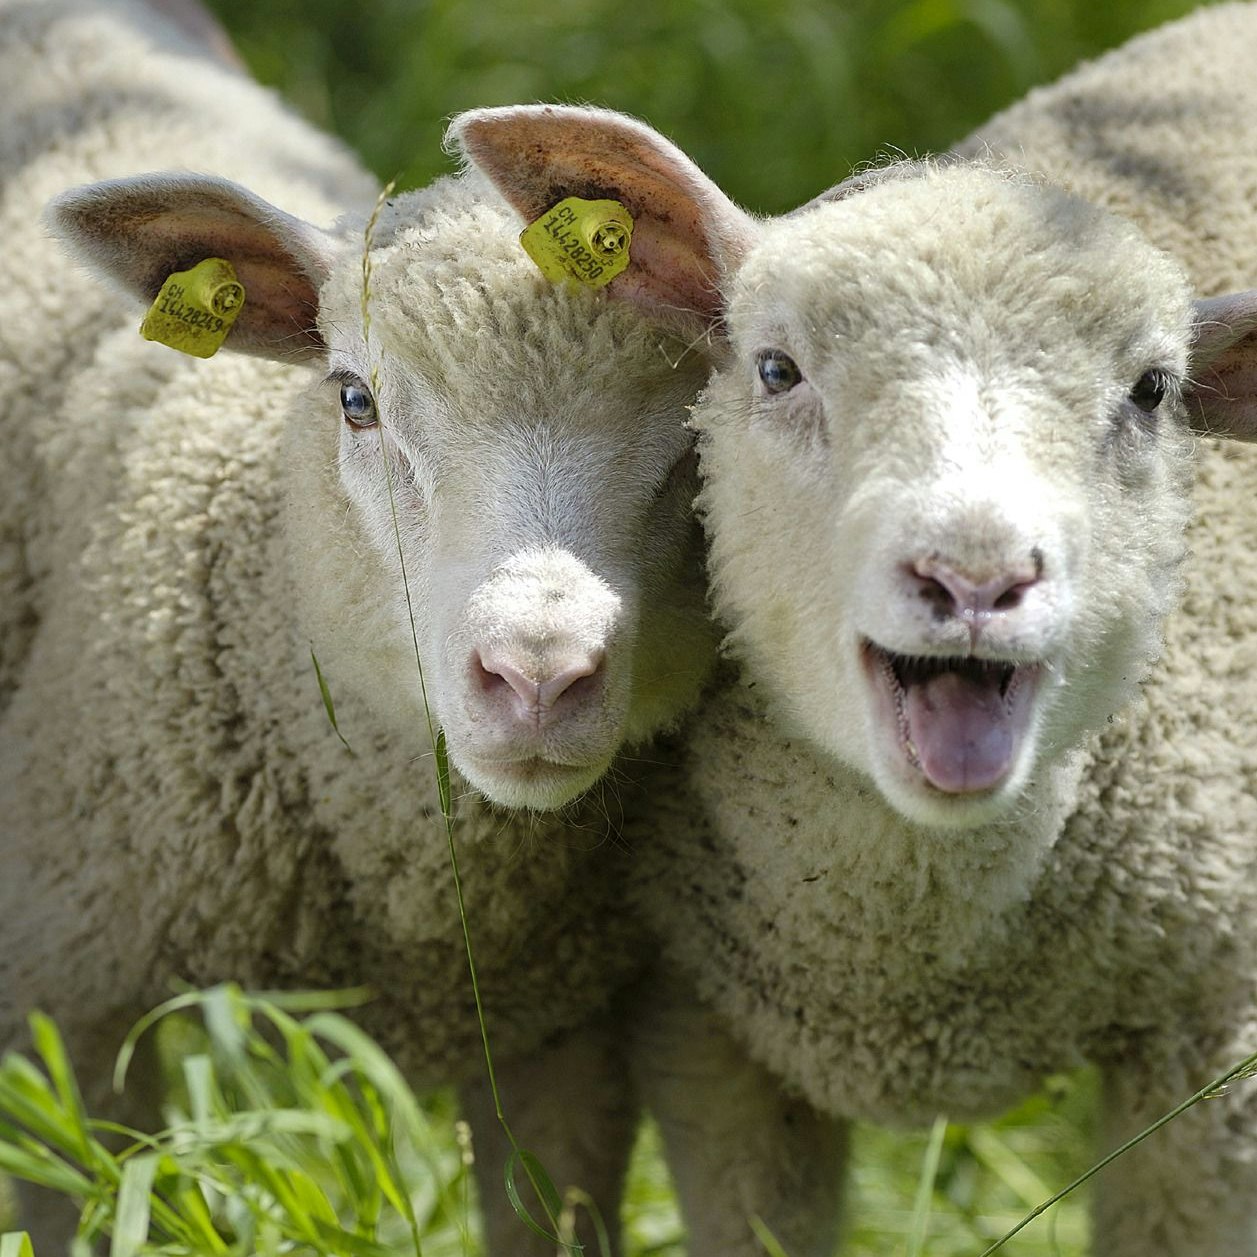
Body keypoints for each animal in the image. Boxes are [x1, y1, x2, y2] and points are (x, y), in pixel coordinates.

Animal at [474, 12, 1257, 1253]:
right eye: (776, 367)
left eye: (1151, 391)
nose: (976, 577)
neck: (914, 964)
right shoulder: (711, 1033)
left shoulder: (1214, 1044)